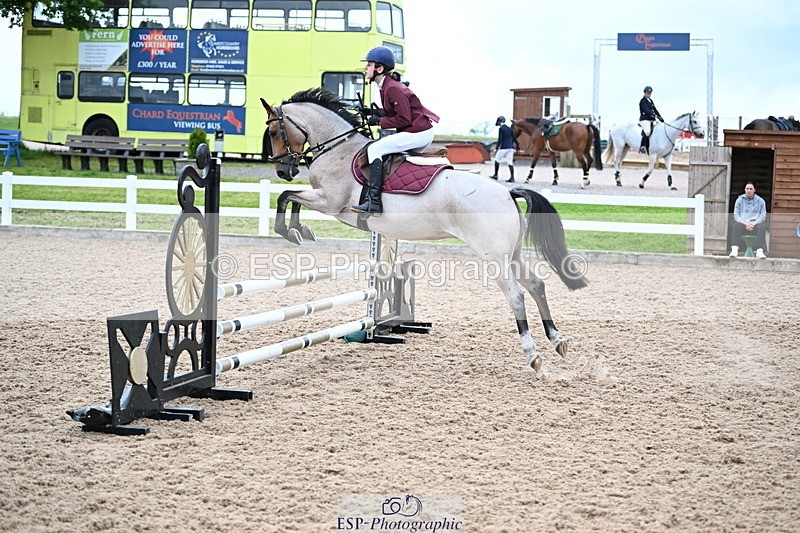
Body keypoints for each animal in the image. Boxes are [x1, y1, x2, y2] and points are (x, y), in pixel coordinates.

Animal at [260, 88, 588, 375]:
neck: (337, 150)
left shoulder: (329, 202)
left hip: (494, 258)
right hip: (513, 254)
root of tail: (508, 193)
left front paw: (291, 230)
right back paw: (557, 341)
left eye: (275, 133)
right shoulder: (325, 201)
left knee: (517, 296)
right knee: (536, 285)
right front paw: (299, 229)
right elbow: (291, 197)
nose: (283, 170)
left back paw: (533, 356)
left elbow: (287, 196)